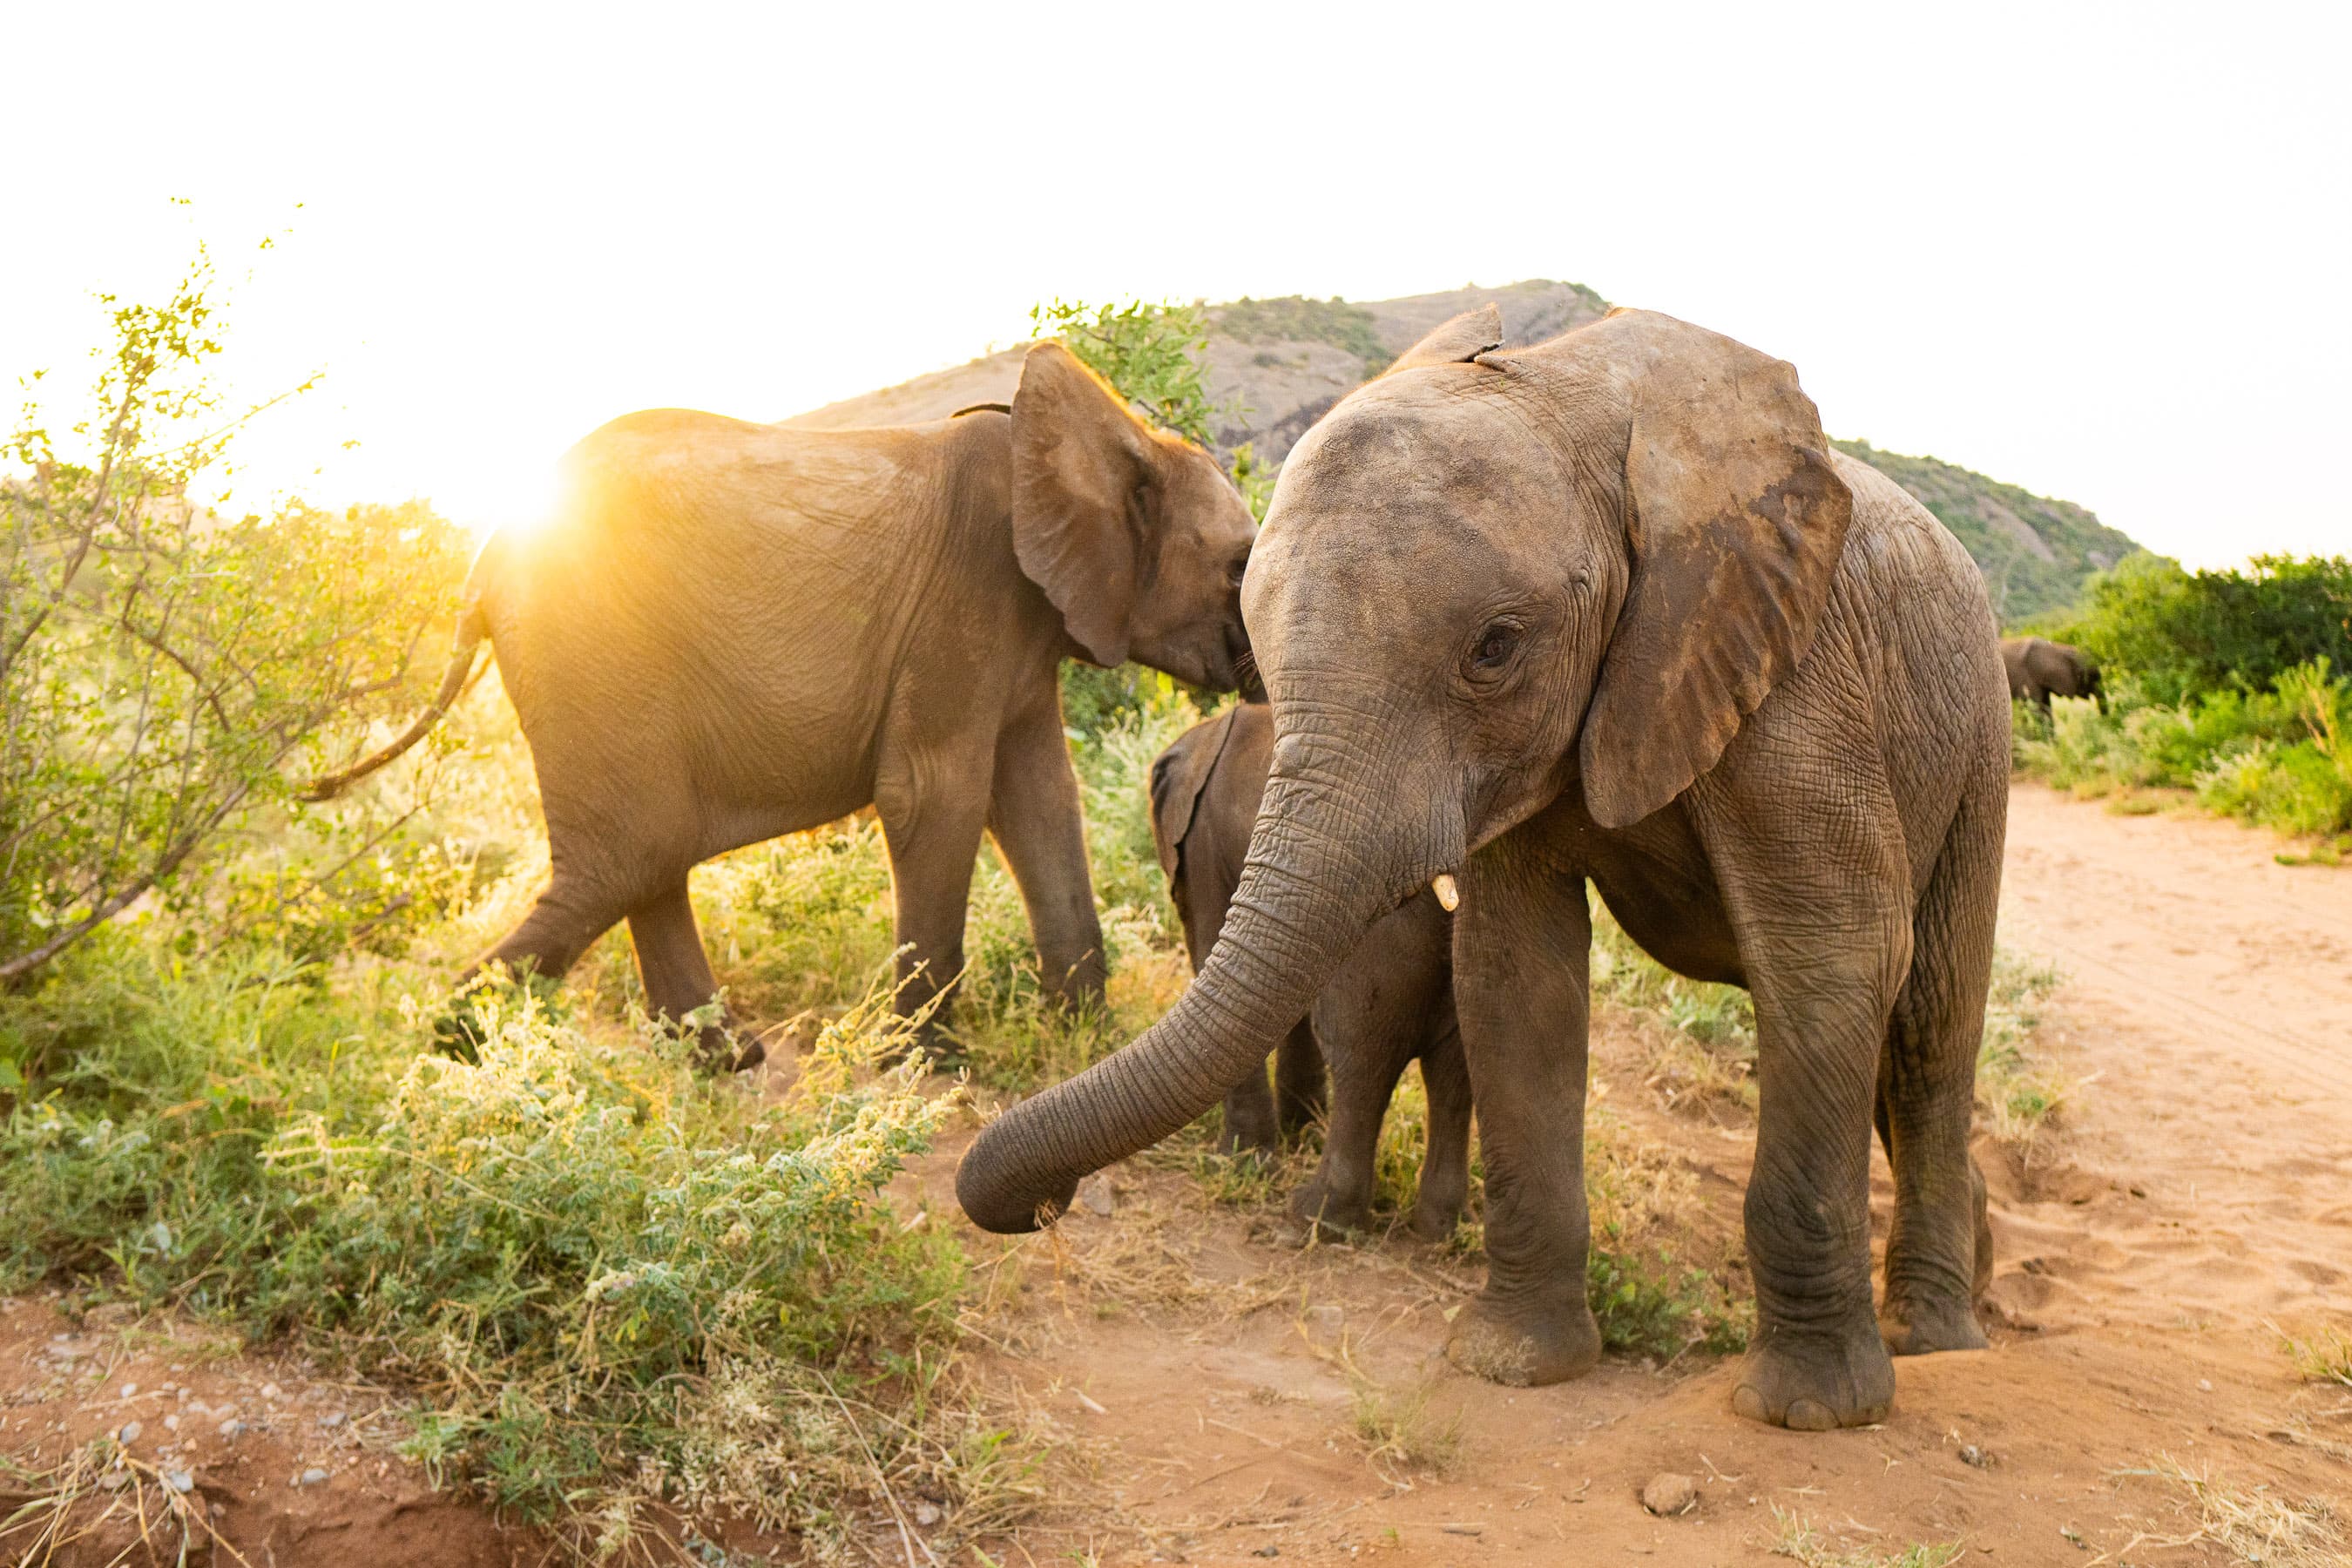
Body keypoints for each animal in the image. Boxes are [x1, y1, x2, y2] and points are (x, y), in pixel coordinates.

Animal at [306, 343, 1257, 1064]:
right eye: (1241, 567)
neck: (1117, 436)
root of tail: (485, 562)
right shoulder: (969, 597)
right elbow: (933, 795)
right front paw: (928, 1067)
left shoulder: (1030, 636)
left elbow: (1041, 801)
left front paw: (1089, 1040)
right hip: (587, 637)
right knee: (633, 852)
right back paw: (441, 1049)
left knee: (647, 852)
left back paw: (722, 1059)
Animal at [1149, 700, 1472, 1239]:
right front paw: (1297, 1133)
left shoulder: (1204, 845)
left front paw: (1243, 1162)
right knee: (1455, 1068)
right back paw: (1445, 1230)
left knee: (1362, 1058)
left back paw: (1318, 1217)